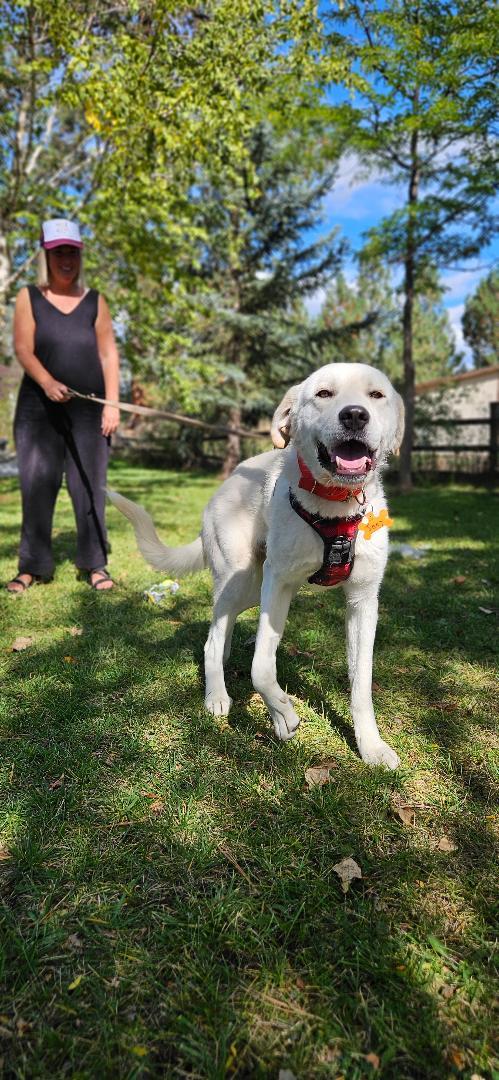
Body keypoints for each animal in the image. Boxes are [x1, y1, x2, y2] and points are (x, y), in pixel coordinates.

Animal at [109, 362, 406, 768]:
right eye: (324, 394)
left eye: (376, 395)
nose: (355, 415)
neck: (337, 505)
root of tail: (226, 482)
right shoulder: (277, 585)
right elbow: (261, 668)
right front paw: (281, 715)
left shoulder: (362, 601)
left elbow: (361, 683)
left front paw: (371, 747)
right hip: (243, 580)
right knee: (212, 638)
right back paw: (216, 694)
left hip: (251, 590)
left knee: (222, 629)